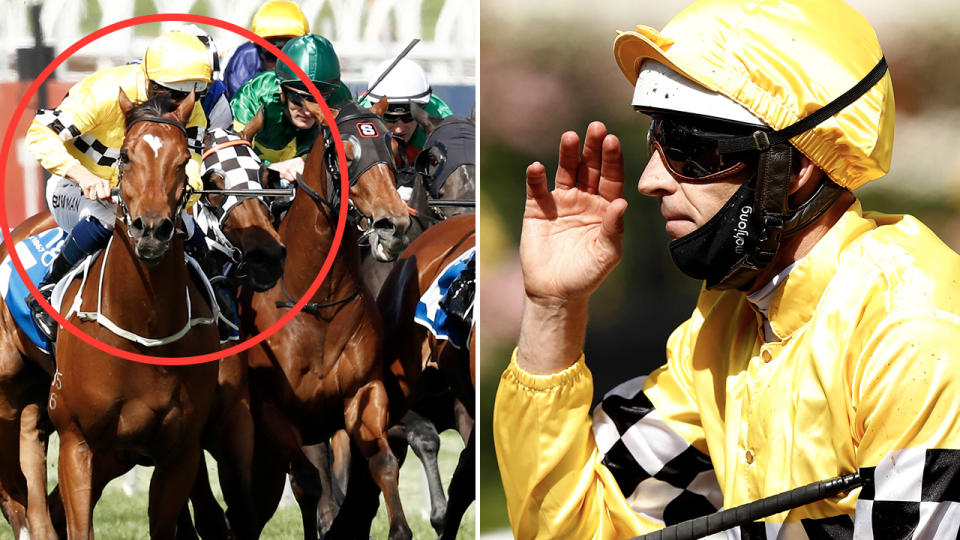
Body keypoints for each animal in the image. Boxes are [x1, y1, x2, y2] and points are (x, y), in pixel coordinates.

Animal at [50, 90, 221, 536]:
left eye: (183, 159)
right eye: (125, 156)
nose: (152, 231)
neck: (146, 326)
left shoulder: (180, 452)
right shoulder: (75, 441)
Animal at [240, 98, 412, 540]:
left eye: (392, 147)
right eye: (345, 153)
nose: (394, 224)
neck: (320, 304)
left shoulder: (363, 393)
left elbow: (382, 464)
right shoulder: (273, 409)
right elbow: (307, 483)